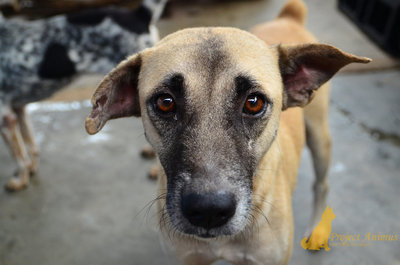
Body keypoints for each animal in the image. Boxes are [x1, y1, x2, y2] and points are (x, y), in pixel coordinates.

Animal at [0, 0, 167, 191]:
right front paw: (31, 169)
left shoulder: (5, 118)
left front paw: (20, 179)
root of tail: (140, 13)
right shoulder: (18, 108)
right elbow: (29, 143)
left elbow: (18, 155)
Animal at [86, 1, 370, 262]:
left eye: (253, 102)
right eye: (165, 102)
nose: (209, 211)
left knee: (322, 184)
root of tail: (289, 17)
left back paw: (316, 232)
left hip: (320, 138)